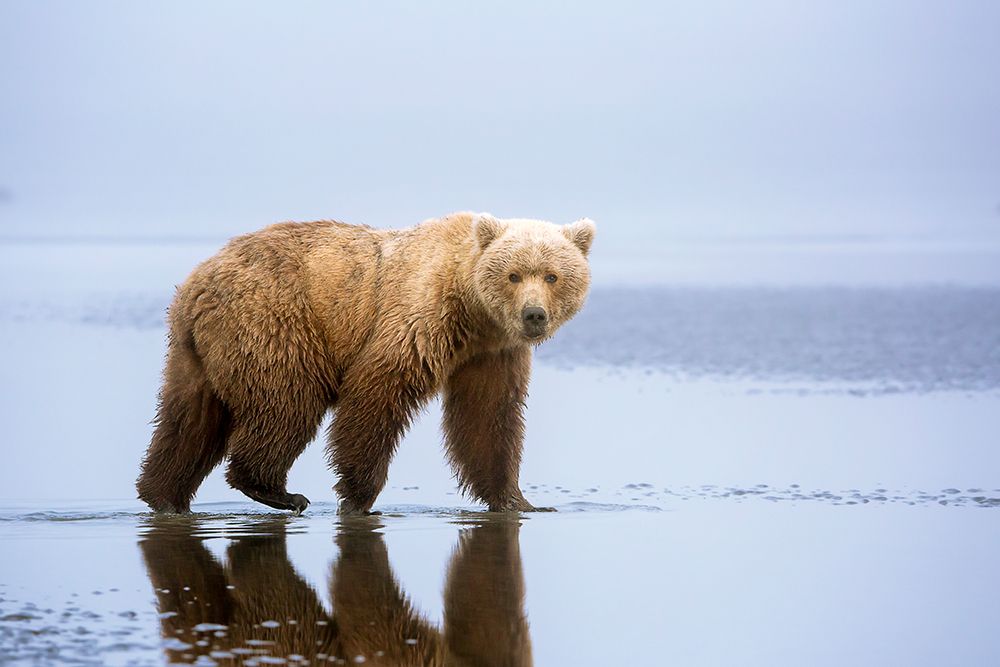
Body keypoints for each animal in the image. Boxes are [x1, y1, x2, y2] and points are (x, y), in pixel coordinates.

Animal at [135, 211, 594, 514]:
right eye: (514, 275)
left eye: (552, 275)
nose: (534, 315)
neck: (472, 311)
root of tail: (196, 282)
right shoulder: (419, 317)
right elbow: (376, 394)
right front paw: (358, 496)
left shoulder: (492, 354)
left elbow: (489, 420)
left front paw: (520, 500)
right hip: (275, 322)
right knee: (287, 403)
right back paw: (279, 491)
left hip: (195, 353)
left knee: (188, 420)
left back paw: (164, 495)